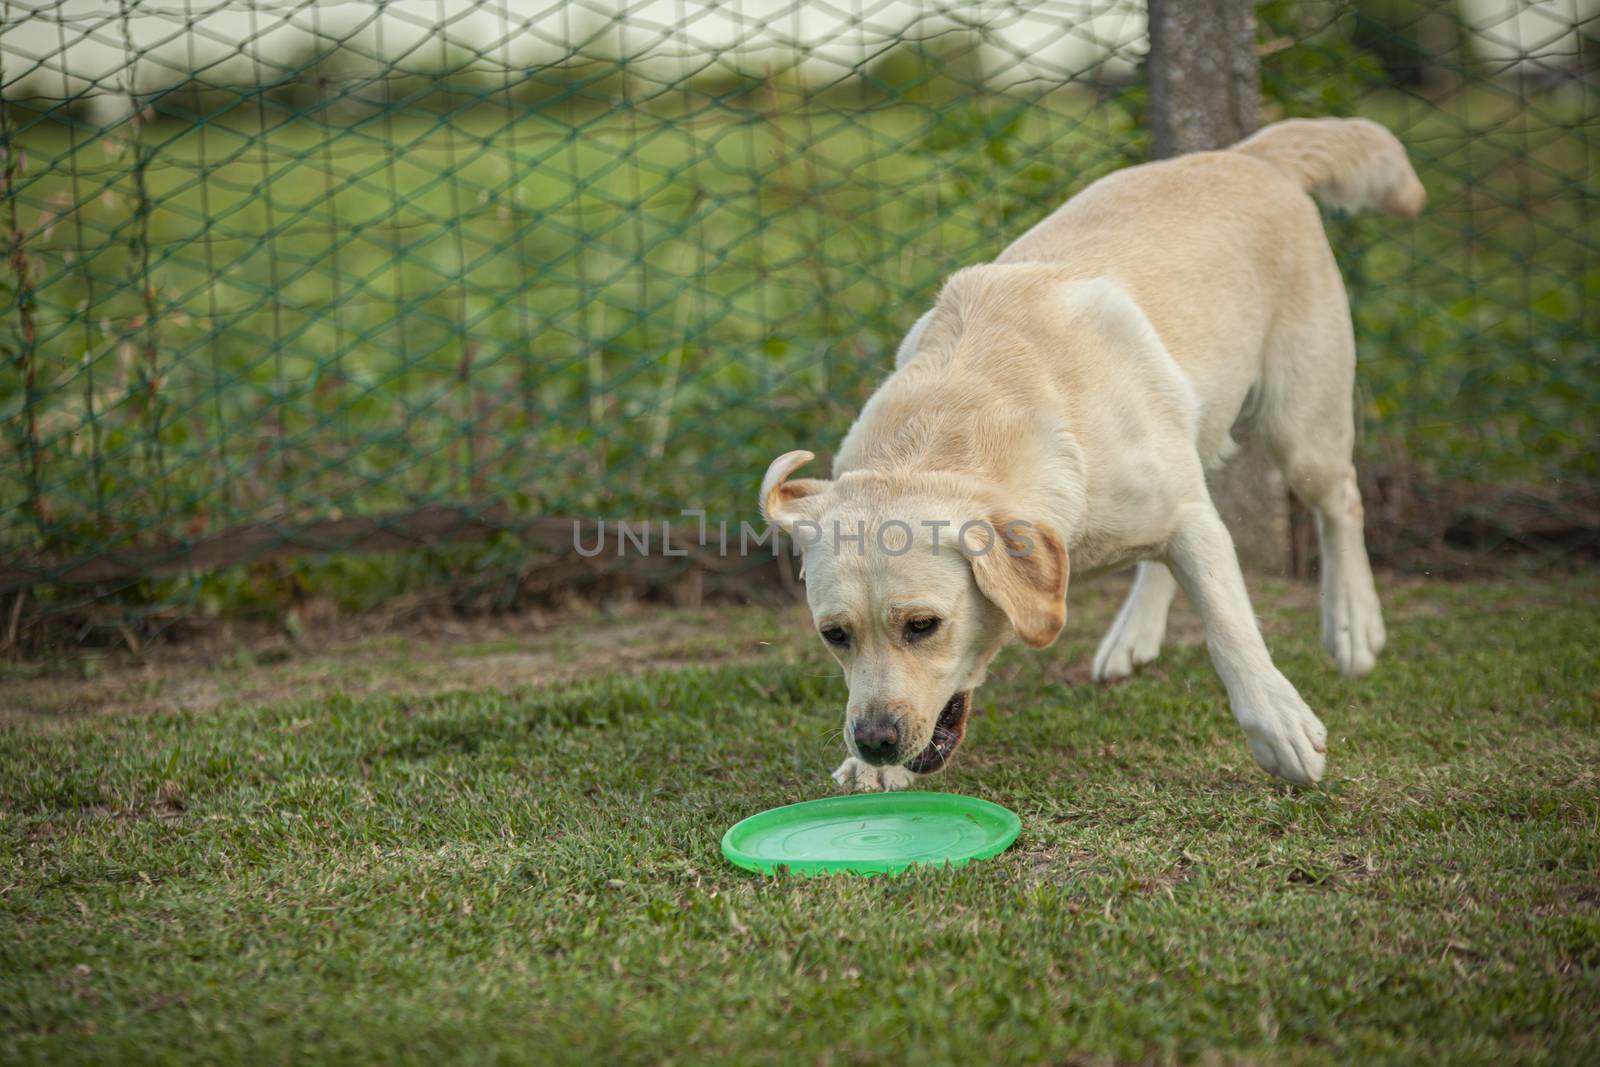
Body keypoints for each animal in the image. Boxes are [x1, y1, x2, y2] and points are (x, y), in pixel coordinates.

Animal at [761, 119, 1427, 793]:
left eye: (922, 625)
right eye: (834, 635)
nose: (875, 742)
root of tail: (1253, 156)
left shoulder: (1188, 517)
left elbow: (1228, 624)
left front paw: (1278, 724)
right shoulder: (1179, 509)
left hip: (1301, 429)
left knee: (1341, 502)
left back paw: (1352, 624)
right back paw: (1135, 632)